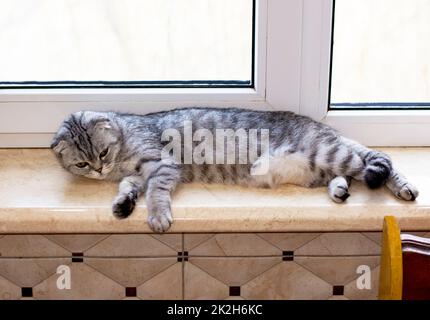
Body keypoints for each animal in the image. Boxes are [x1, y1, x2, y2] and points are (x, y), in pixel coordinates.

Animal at [51, 108, 420, 232]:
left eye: (103, 151)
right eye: (83, 163)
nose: (100, 170)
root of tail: (322, 126)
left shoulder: (163, 165)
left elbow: (155, 192)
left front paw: (156, 215)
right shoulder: (135, 174)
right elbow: (128, 187)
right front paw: (122, 203)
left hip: (330, 152)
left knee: (376, 162)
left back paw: (404, 187)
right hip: (319, 168)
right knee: (347, 174)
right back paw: (339, 190)